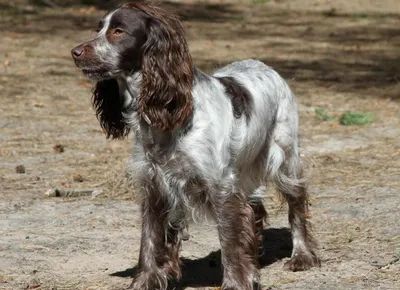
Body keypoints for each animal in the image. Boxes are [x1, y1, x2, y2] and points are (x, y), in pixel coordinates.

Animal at [70, 2, 318, 290]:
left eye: (119, 31)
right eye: (99, 28)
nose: (75, 52)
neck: (170, 117)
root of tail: (266, 66)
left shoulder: (220, 187)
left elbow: (230, 241)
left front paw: (235, 283)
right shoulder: (155, 186)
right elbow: (150, 241)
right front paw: (145, 281)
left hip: (284, 158)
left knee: (296, 203)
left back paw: (302, 256)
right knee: (255, 207)